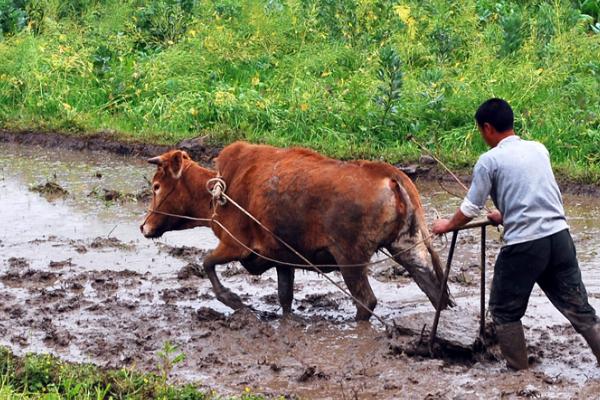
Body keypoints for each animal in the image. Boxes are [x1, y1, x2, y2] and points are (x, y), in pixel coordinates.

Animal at [139, 142, 450, 320]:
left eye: (156, 186)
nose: (144, 227)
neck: (220, 192)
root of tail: (388, 175)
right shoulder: (282, 259)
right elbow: (285, 297)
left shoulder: (236, 245)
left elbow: (207, 263)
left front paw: (234, 301)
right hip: (408, 247)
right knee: (435, 291)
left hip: (350, 259)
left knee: (366, 301)